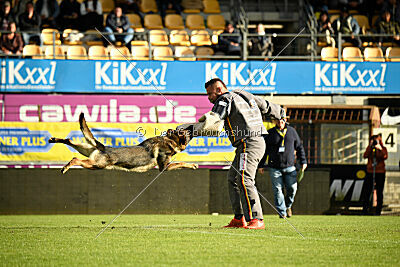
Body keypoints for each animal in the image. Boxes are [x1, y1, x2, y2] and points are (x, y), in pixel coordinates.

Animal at [47, 113, 198, 174]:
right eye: (186, 132)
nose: (192, 126)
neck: (169, 140)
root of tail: (102, 147)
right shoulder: (164, 167)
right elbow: (181, 163)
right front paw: (192, 165)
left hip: (85, 150)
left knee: (69, 141)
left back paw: (54, 140)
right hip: (96, 165)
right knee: (75, 158)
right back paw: (65, 167)